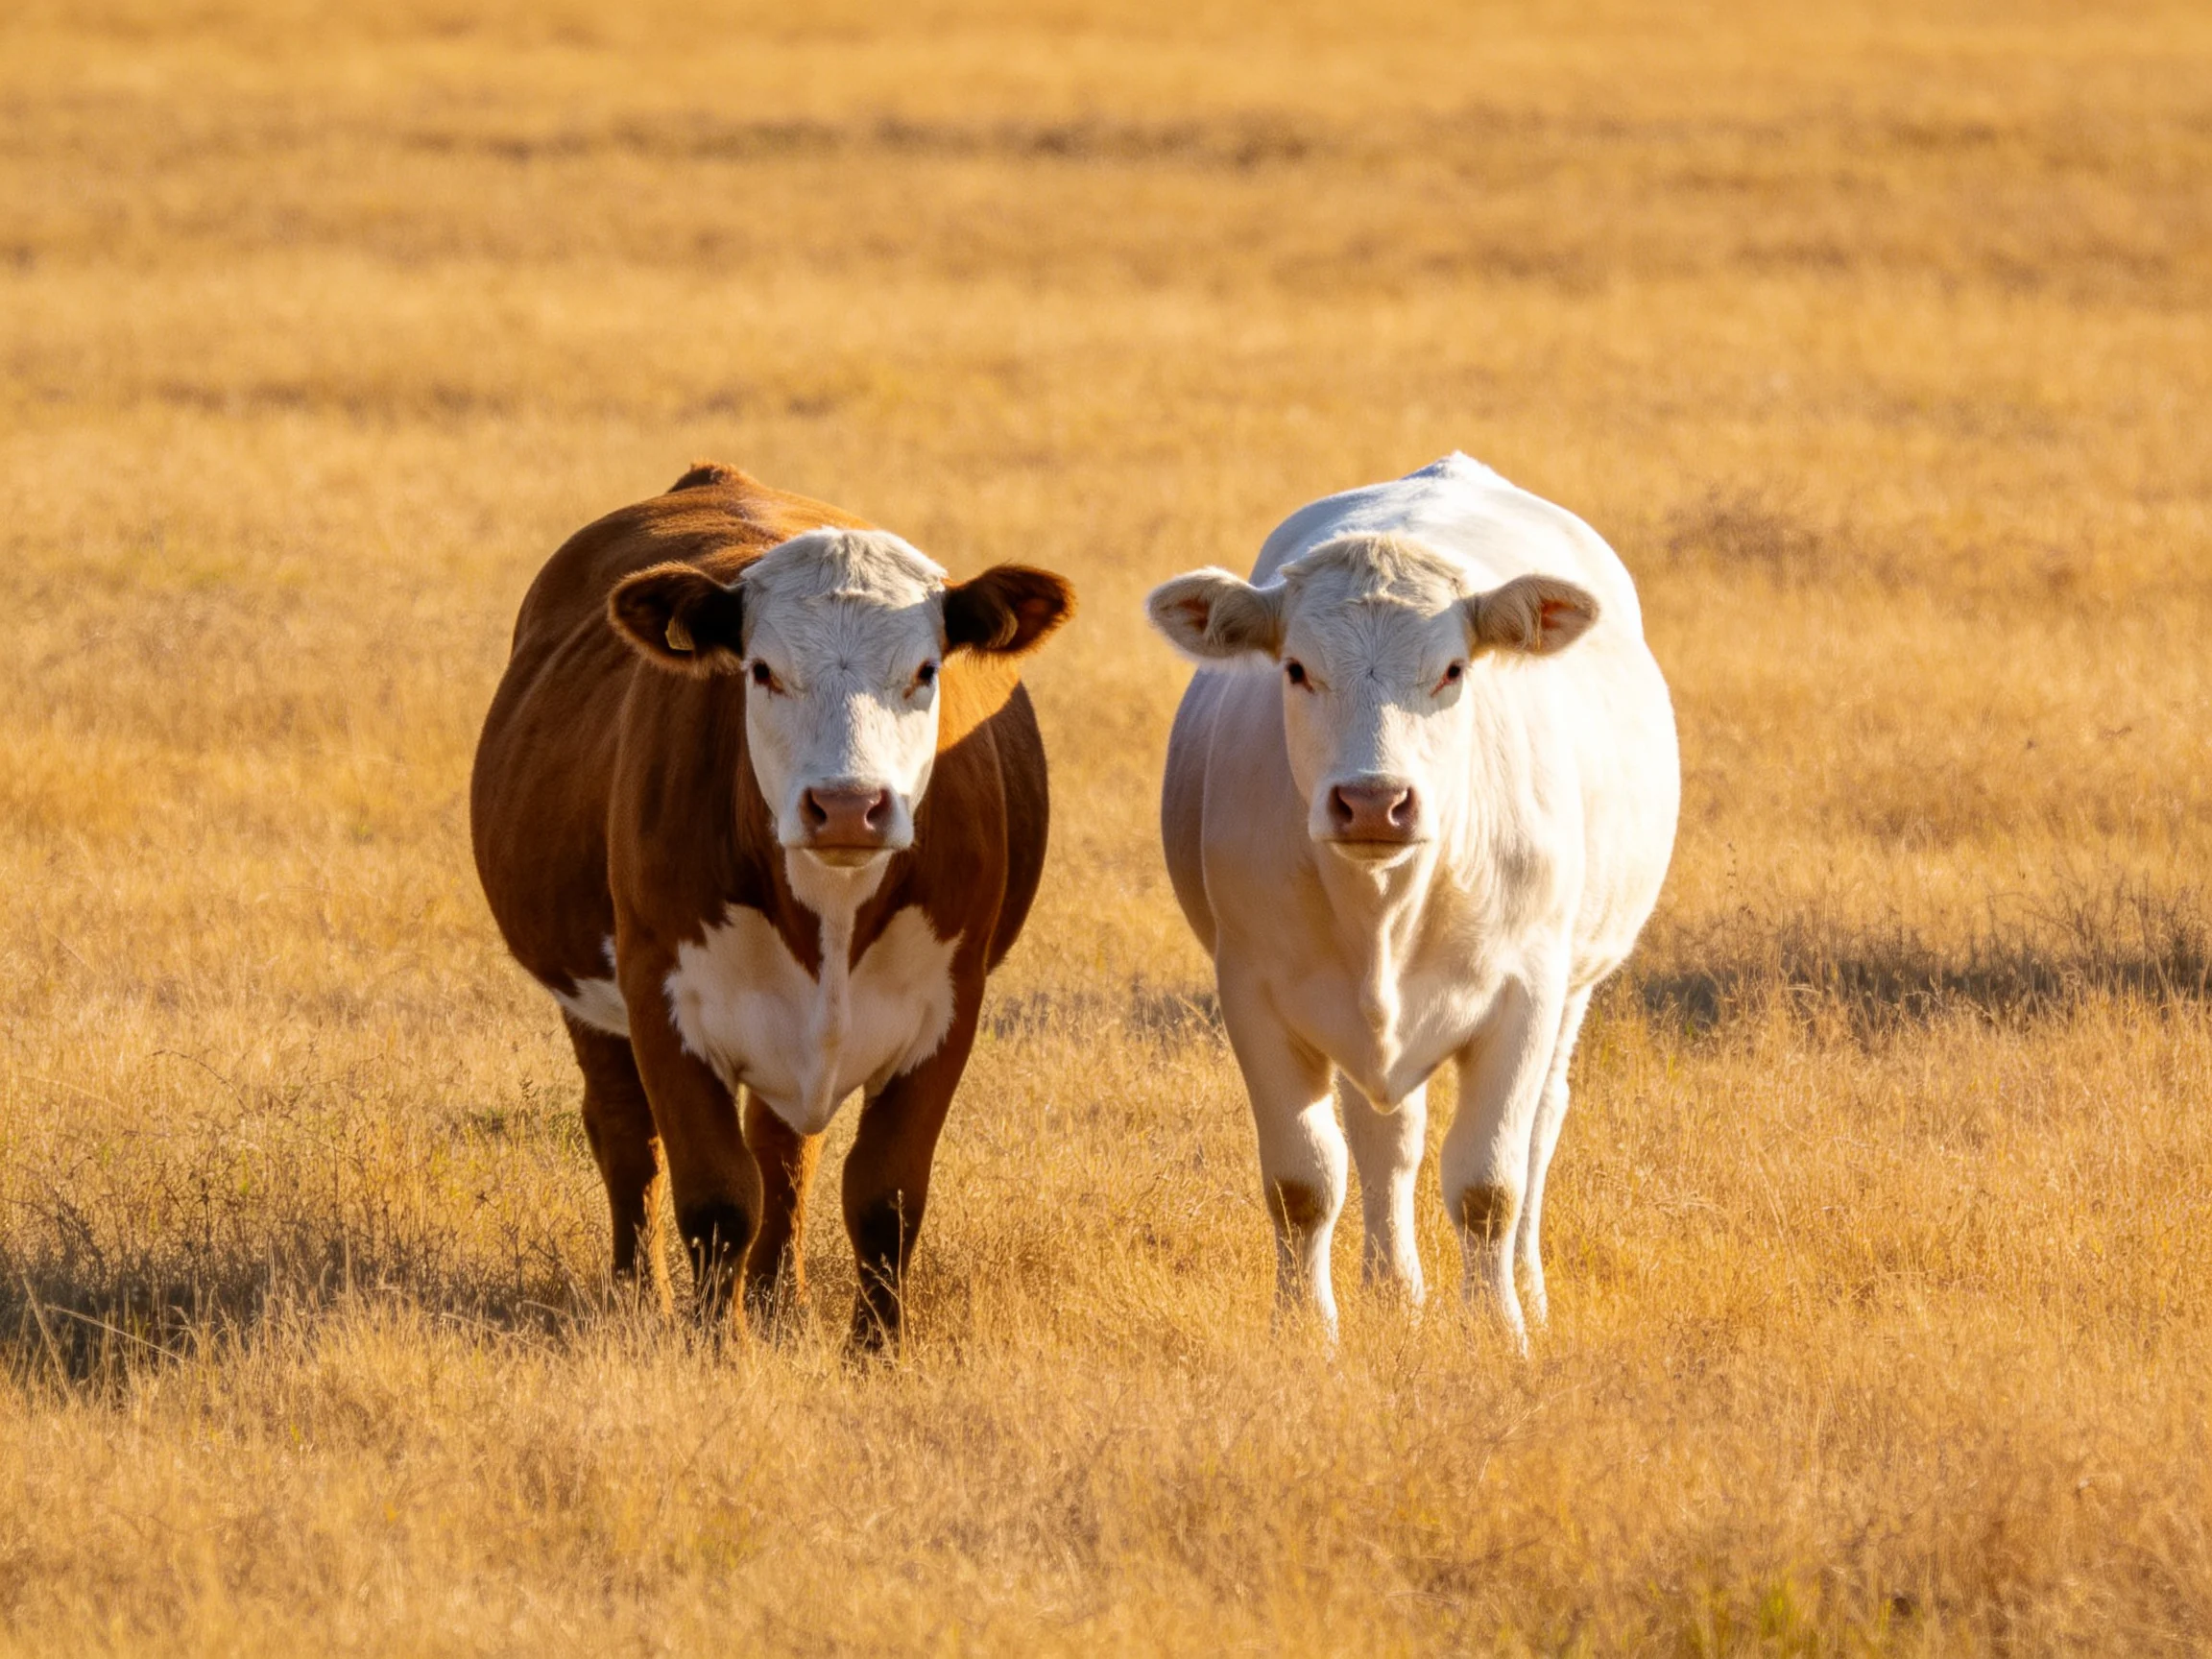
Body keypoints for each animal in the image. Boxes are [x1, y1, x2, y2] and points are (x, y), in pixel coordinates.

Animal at [471, 462, 1074, 1347]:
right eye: (761, 671)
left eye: (925, 671)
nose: (849, 805)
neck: (830, 905)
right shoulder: (661, 996)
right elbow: (717, 1197)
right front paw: (716, 1349)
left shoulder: (949, 1005)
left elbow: (885, 1196)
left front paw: (876, 1354)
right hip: (586, 994)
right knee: (625, 1135)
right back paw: (639, 1294)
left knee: (784, 1152)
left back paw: (778, 1301)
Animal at [1145, 454, 1678, 1347]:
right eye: (1296, 669)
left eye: (1454, 670)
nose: (1373, 801)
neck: (1383, 907)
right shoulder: (1252, 994)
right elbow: (1303, 1182)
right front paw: (1305, 1333)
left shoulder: (1526, 995)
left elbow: (1490, 1186)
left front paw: (1498, 1331)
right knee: (1386, 1135)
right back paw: (1395, 1288)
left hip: (1575, 987)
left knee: (1540, 1129)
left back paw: (1526, 1289)